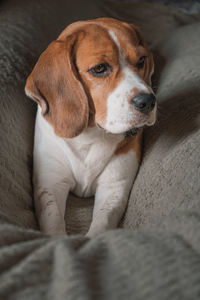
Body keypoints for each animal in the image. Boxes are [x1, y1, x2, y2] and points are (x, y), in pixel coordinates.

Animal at [25, 17, 156, 238]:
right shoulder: (50, 184)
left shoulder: (114, 188)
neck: (90, 135)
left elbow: (101, 224)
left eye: (141, 61)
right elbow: (53, 222)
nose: (148, 101)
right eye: (99, 68)